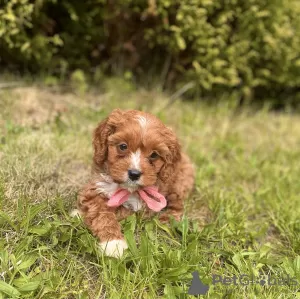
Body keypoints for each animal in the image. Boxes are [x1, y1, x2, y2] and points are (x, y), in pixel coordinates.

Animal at [76, 109, 196, 258]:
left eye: (154, 155)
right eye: (123, 146)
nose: (134, 174)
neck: (126, 189)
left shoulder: (142, 209)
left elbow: (116, 211)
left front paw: (113, 244)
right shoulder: (96, 186)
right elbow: (101, 210)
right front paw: (112, 240)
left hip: (179, 183)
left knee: (177, 206)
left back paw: (167, 219)